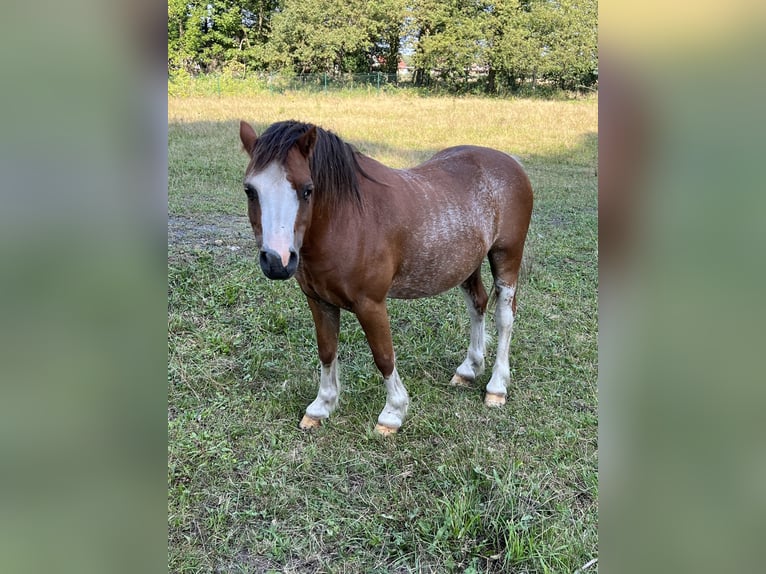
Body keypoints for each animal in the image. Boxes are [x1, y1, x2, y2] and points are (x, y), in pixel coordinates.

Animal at [240, 120, 536, 436]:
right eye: (250, 190)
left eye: (307, 190)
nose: (277, 261)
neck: (348, 220)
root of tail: (509, 162)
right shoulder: (319, 301)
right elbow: (327, 351)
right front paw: (321, 407)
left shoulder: (370, 304)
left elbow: (383, 356)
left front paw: (393, 412)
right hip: (467, 265)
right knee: (477, 305)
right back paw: (469, 369)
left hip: (506, 257)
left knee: (504, 317)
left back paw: (497, 387)